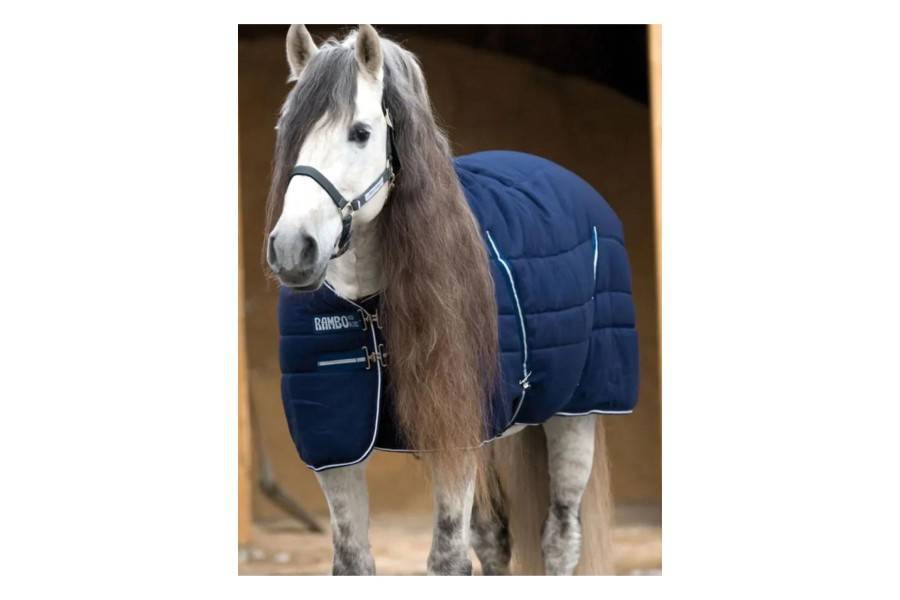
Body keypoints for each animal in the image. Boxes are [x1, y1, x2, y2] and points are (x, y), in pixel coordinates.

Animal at [264, 24, 639, 575]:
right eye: (287, 129)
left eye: (360, 132)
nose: (294, 249)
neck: (367, 304)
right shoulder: (335, 445)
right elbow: (353, 560)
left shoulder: (456, 435)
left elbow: (447, 560)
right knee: (493, 540)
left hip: (576, 415)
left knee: (560, 538)